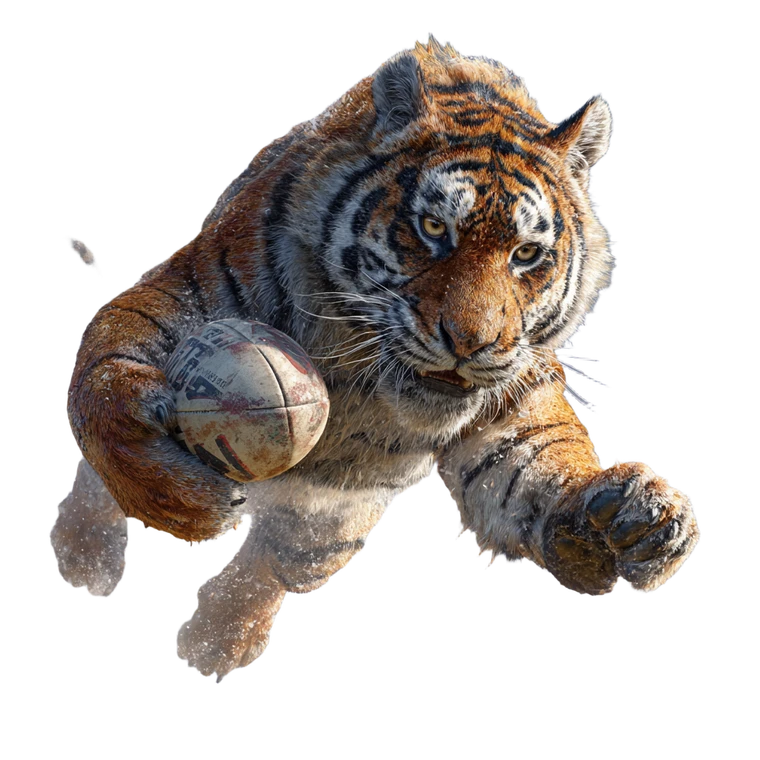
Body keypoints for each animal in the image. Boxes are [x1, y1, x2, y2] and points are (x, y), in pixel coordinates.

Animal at [59, 36, 700, 678]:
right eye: (433, 227)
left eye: (525, 254)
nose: (469, 342)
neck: (356, 371)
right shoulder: (181, 301)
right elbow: (107, 382)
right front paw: (175, 497)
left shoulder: (510, 396)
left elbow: (538, 467)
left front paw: (631, 522)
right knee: (96, 494)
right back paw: (85, 567)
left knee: (275, 564)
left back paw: (215, 648)